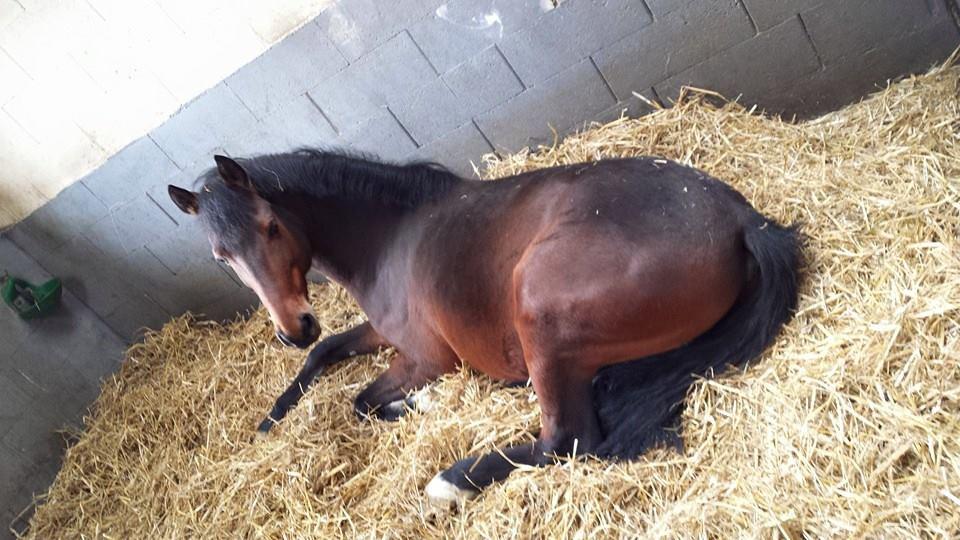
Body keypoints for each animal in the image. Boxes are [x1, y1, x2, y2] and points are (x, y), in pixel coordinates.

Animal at [167, 149, 801, 507]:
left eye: (272, 227)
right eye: (222, 255)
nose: (290, 327)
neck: (391, 238)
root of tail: (744, 221)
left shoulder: (425, 357)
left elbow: (361, 401)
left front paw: (418, 405)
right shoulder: (383, 333)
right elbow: (324, 355)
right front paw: (270, 419)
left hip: (538, 309)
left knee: (567, 440)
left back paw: (451, 482)